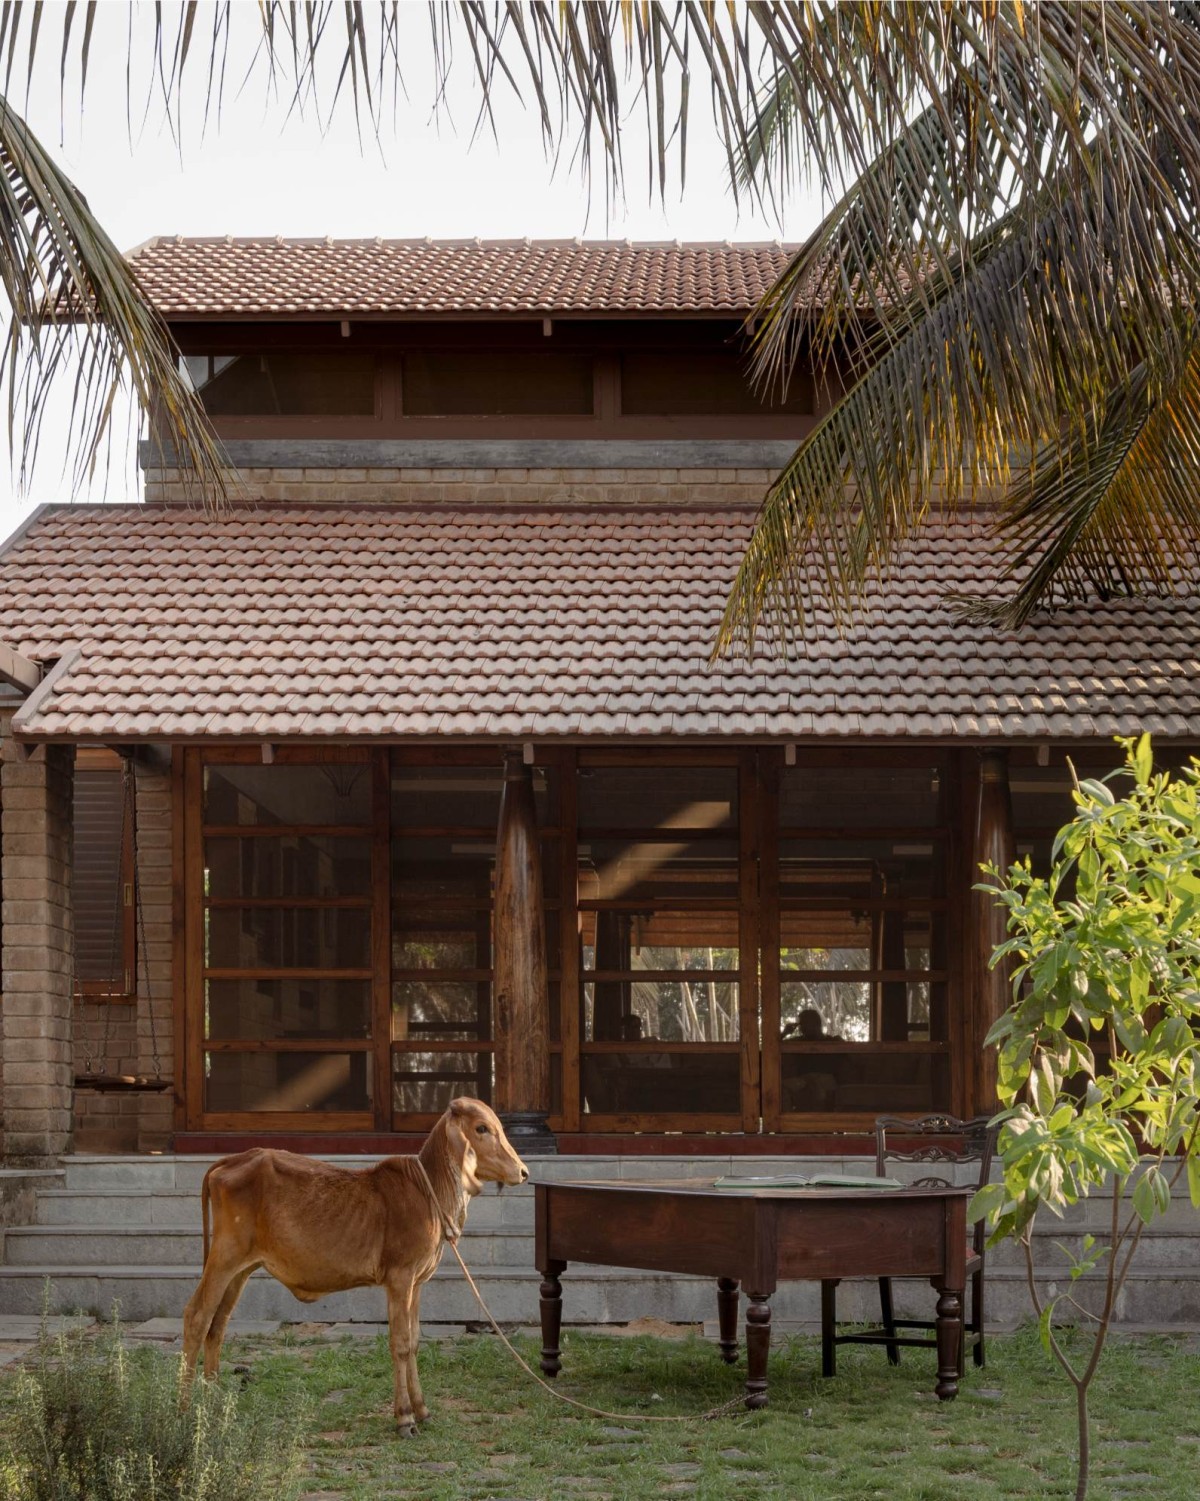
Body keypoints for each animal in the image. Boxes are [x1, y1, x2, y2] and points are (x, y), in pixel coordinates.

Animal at [181, 1104, 525, 1428]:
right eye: (481, 1128)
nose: (522, 1171)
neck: (429, 1192)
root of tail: (232, 1160)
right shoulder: (399, 1279)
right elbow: (400, 1344)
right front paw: (404, 1417)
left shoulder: (417, 1283)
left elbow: (414, 1342)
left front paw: (423, 1411)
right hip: (224, 1257)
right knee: (197, 1317)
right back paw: (183, 1410)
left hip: (241, 1269)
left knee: (218, 1324)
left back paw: (212, 1405)